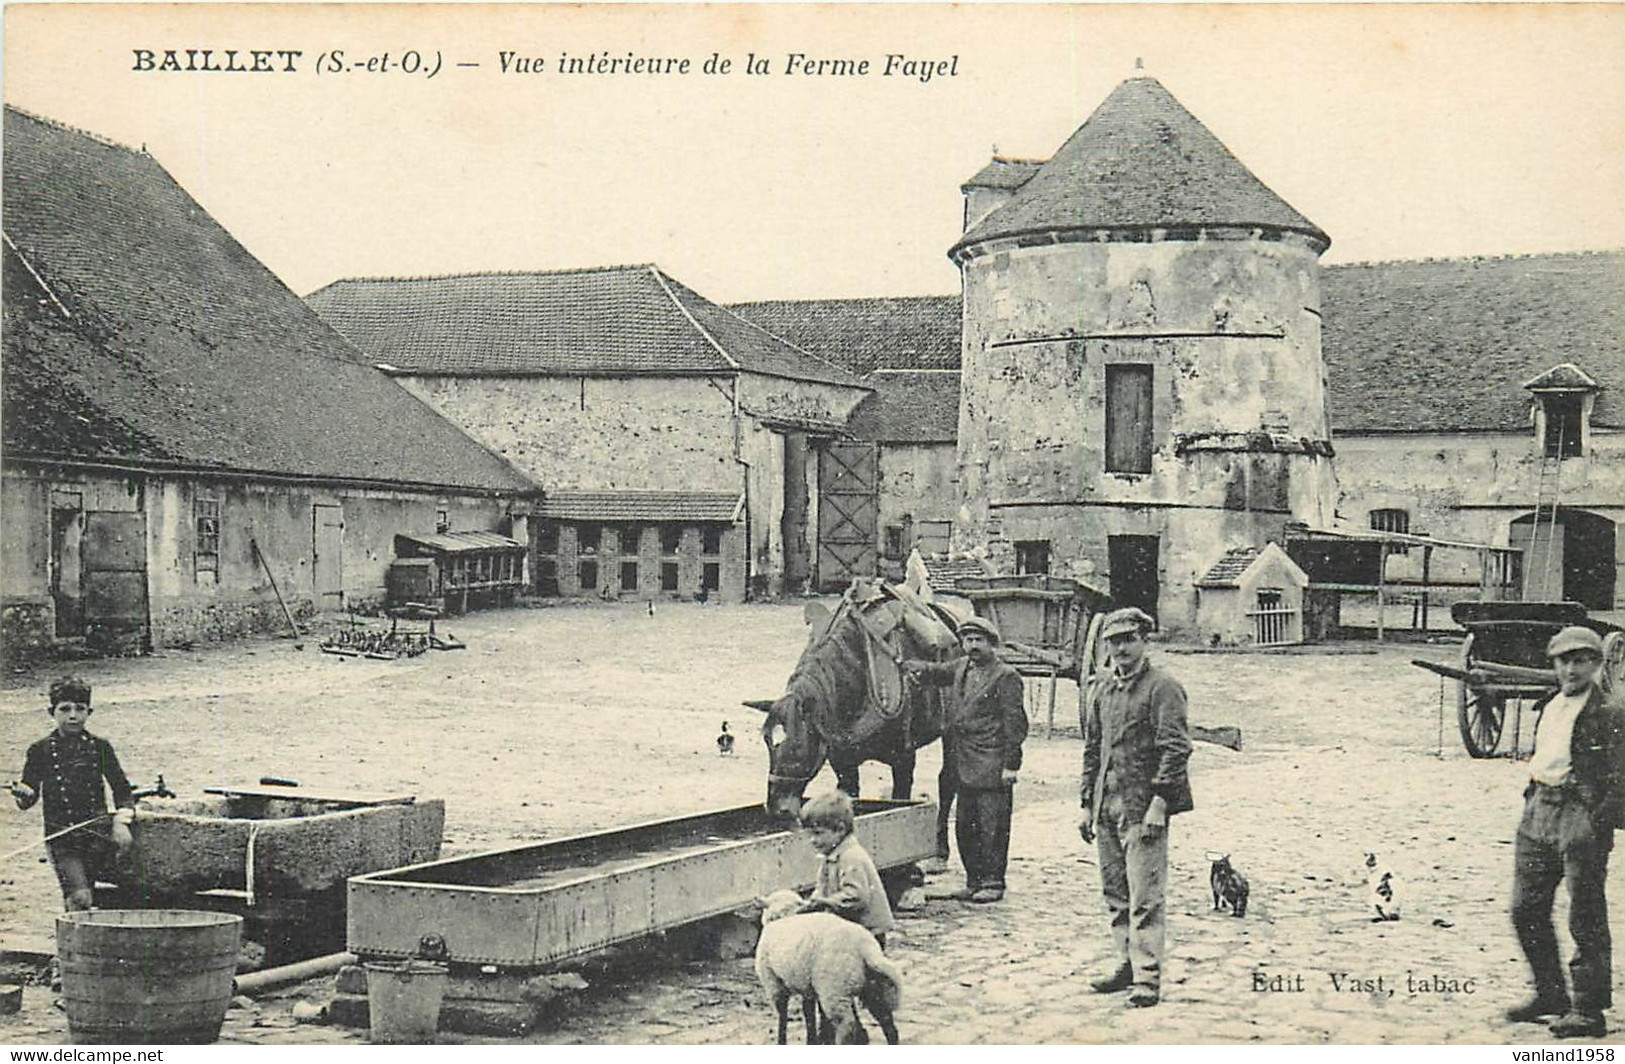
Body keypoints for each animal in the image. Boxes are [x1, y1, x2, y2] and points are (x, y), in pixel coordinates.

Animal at [744, 578, 962, 818]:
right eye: (767, 742)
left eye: (797, 744)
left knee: (948, 781)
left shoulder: (904, 759)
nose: (775, 808)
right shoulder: (843, 763)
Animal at [750, 883, 903, 1046]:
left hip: (833, 986)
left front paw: (782, 1041)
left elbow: (783, 1015)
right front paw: (811, 1040)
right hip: (870, 985)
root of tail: (865, 948)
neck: (784, 916)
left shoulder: (773, 982)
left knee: (846, 1025)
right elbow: (808, 1012)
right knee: (887, 1021)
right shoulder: (806, 984)